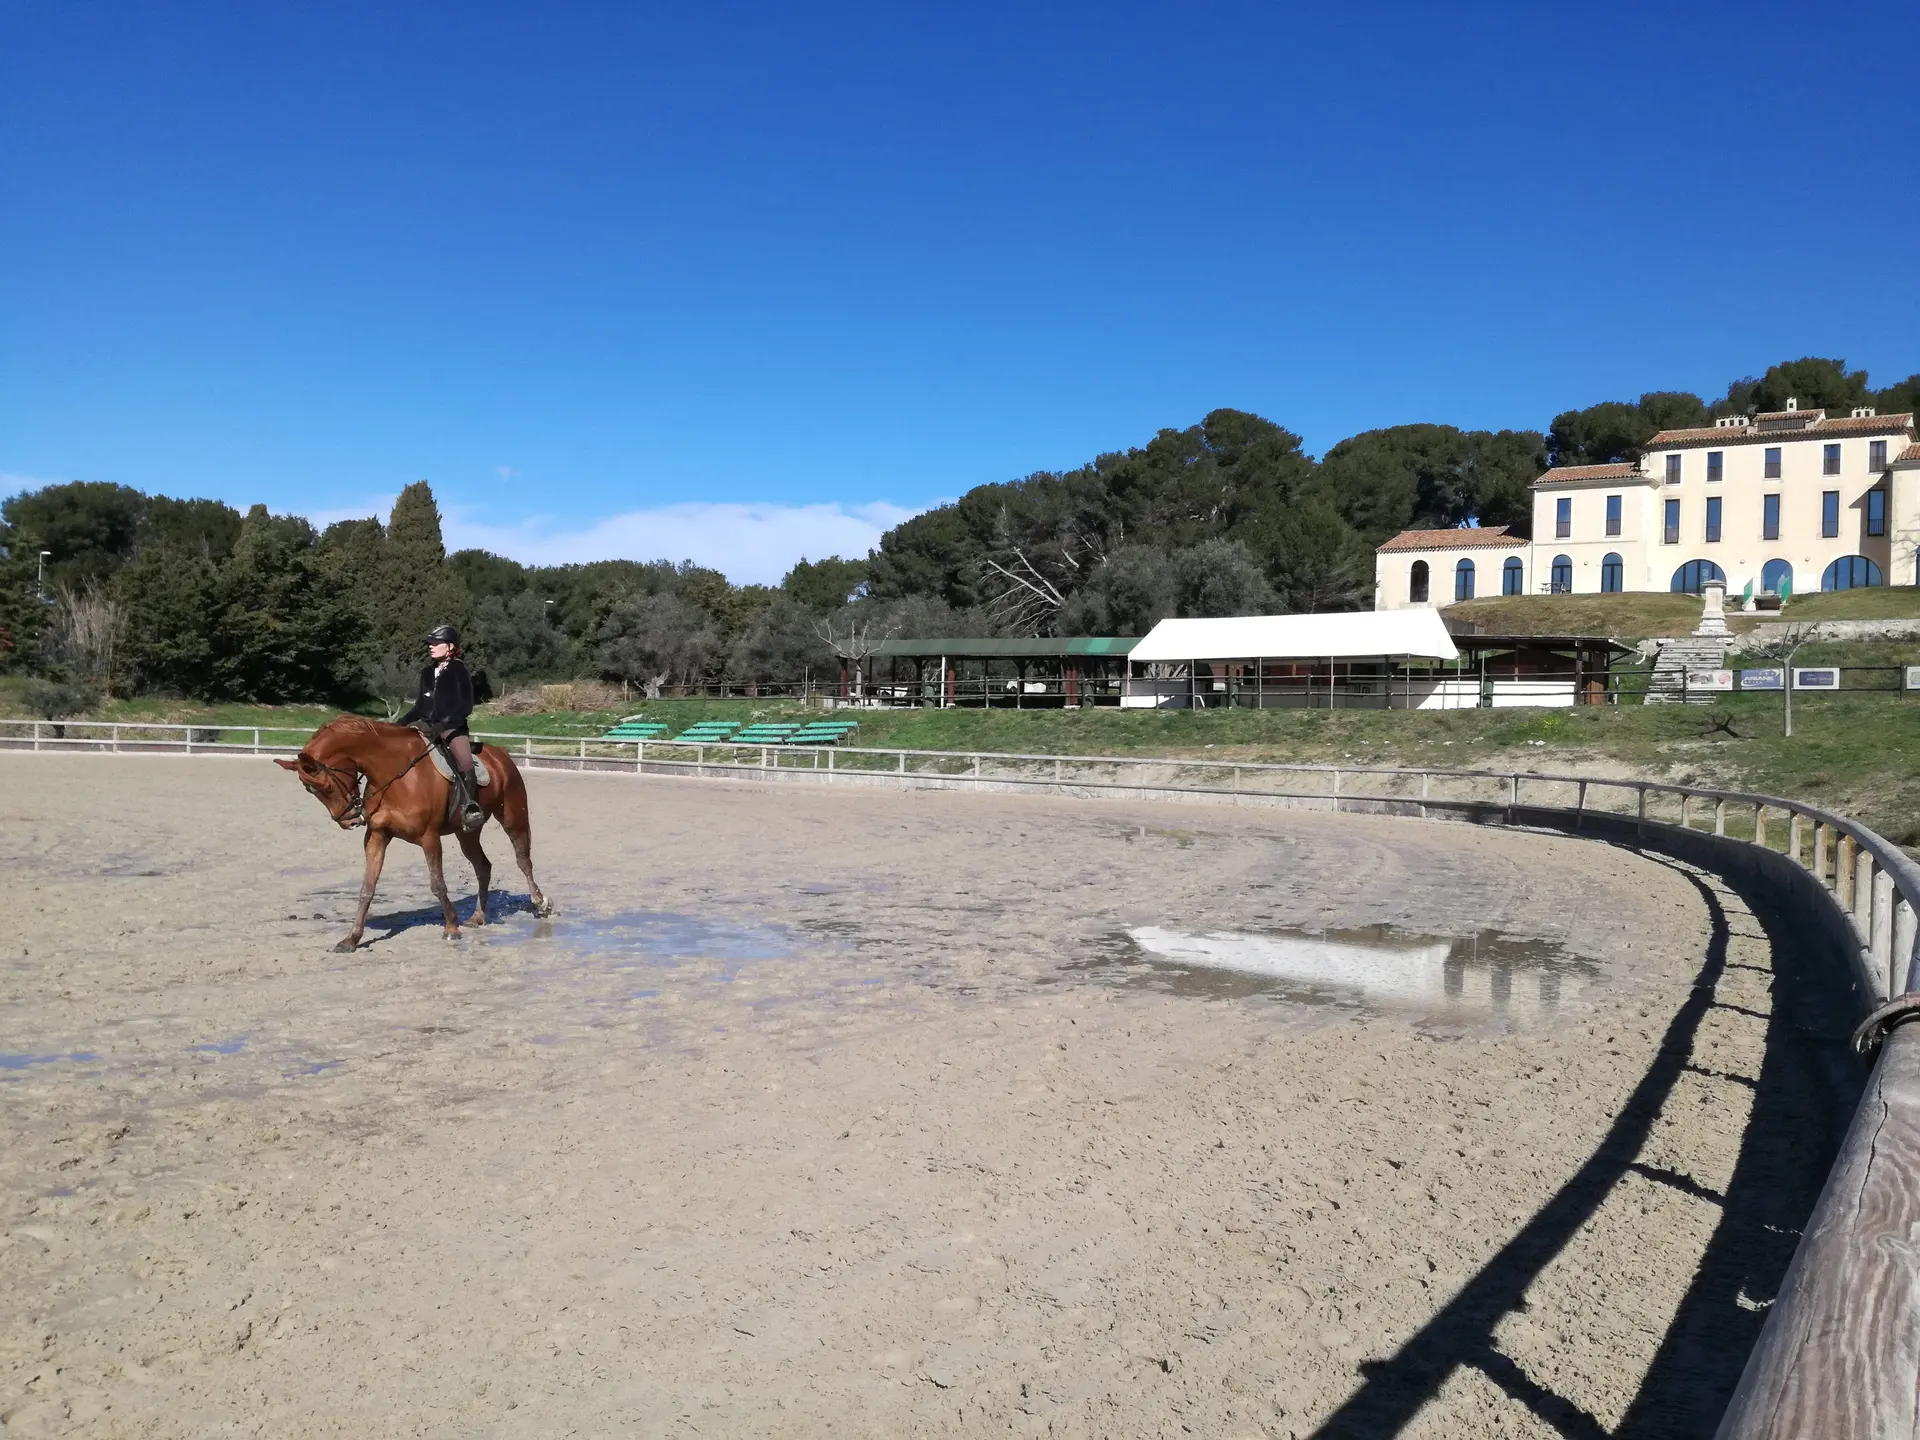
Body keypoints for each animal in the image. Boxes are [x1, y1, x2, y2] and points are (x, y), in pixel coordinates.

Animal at [266, 718, 549, 952]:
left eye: (325, 787)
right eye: (310, 791)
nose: (348, 820)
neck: (393, 771)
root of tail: (501, 755)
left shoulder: (429, 837)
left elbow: (437, 884)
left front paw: (451, 928)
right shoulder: (377, 836)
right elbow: (367, 888)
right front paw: (351, 939)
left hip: (513, 817)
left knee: (523, 860)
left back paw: (541, 904)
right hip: (467, 833)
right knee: (483, 867)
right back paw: (477, 917)